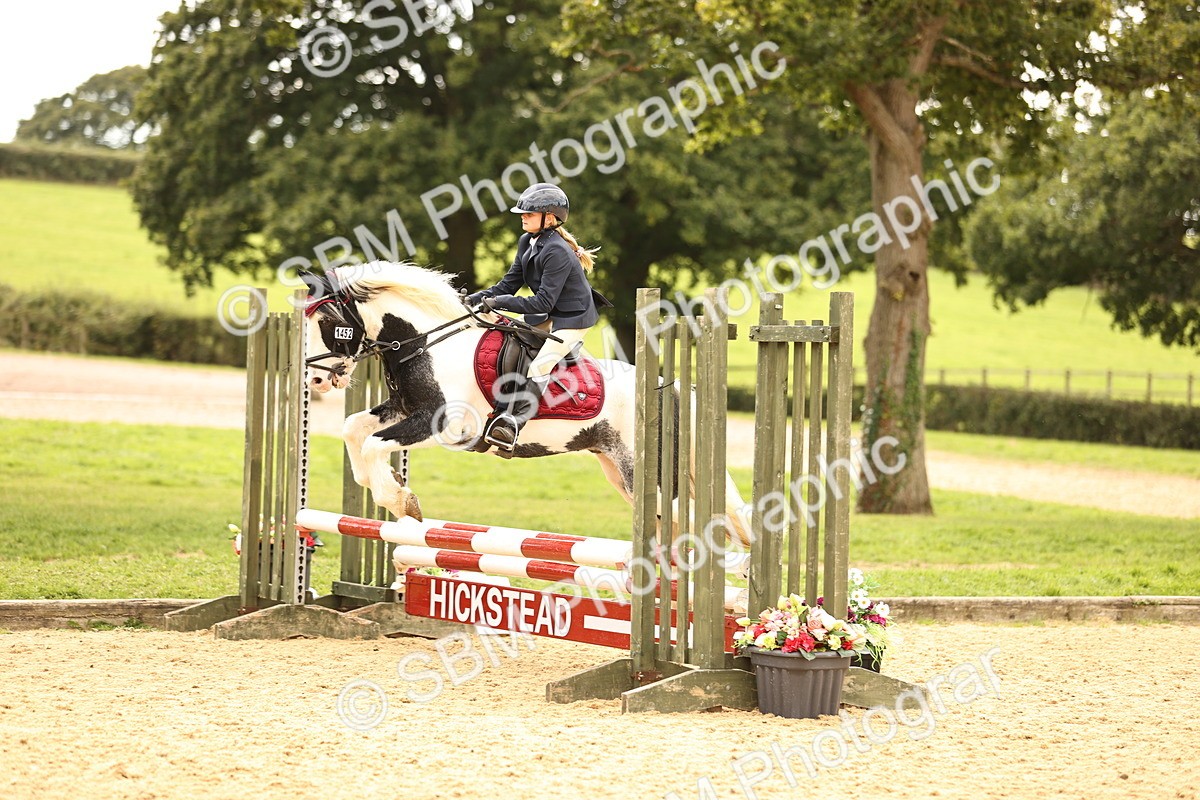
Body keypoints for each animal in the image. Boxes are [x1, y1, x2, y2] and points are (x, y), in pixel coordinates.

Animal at [300, 261, 752, 549]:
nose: (315, 380)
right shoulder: (404, 409)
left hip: (652, 477)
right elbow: (354, 430)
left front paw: (400, 501)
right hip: (621, 472)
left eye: (327, 323)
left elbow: (374, 443)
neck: (427, 342)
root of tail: (675, 390)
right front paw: (380, 484)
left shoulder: (445, 425)